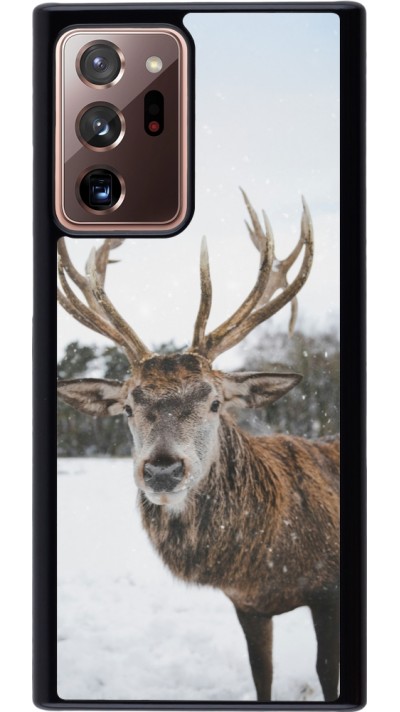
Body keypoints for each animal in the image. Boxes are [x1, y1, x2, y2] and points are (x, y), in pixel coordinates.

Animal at [57, 190, 339, 702]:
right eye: (128, 406)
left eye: (214, 402)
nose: (162, 470)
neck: (268, 561)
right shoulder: (248, 605)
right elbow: (261, 676)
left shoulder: (329, 590)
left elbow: (328, 673)